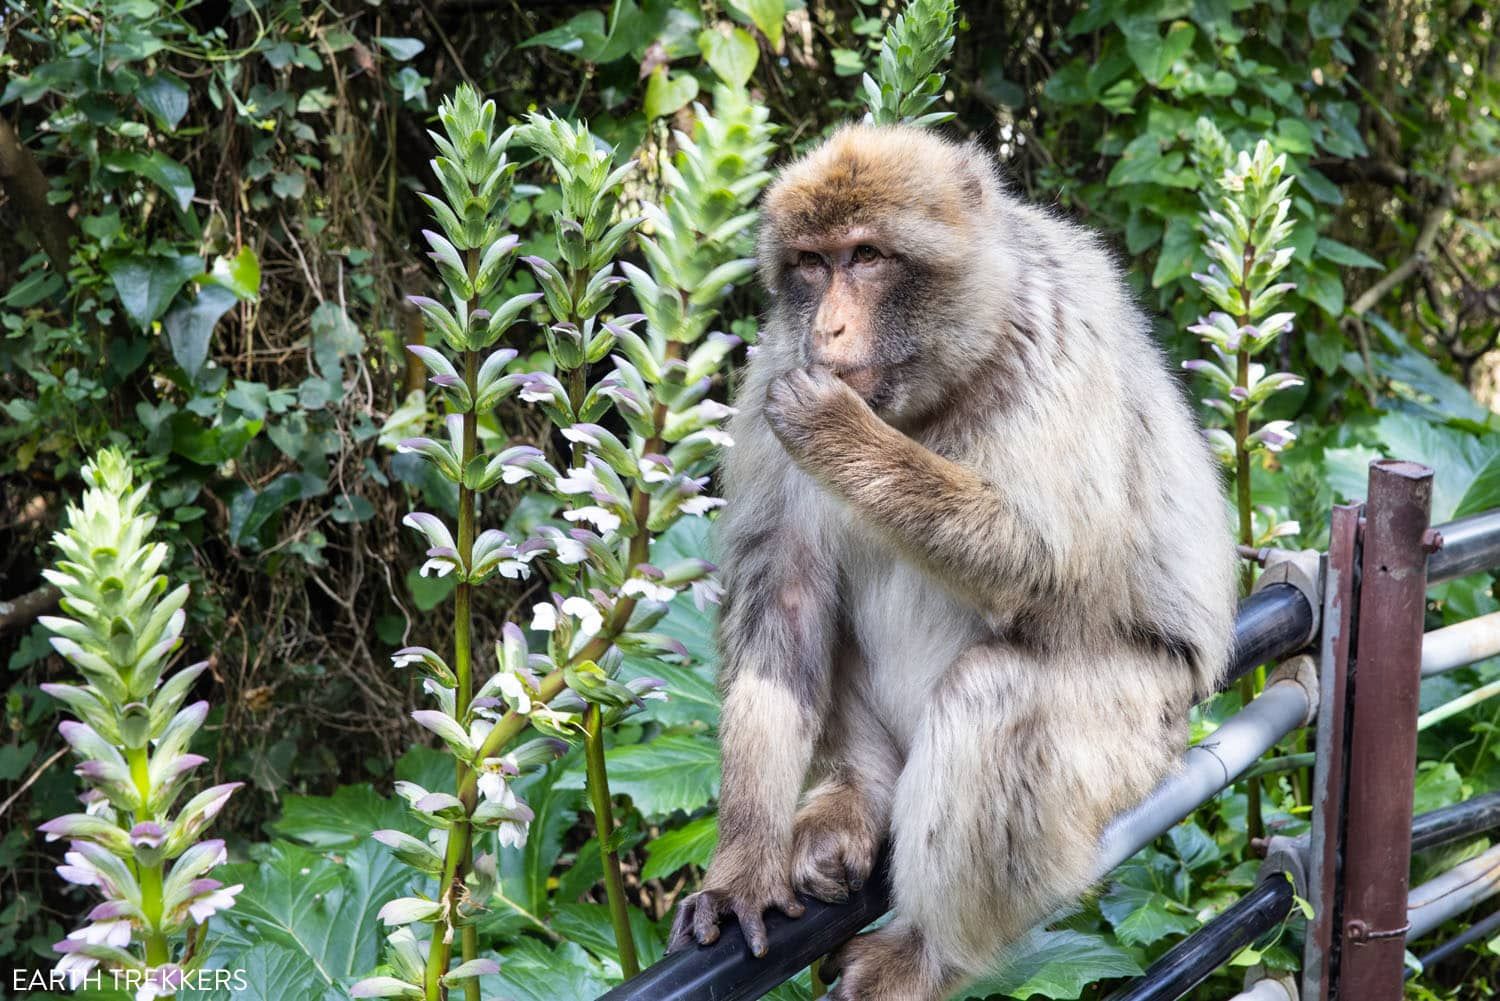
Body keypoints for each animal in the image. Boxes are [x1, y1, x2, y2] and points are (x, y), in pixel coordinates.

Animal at [666, 123, 1238, 1001]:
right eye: (811, 264)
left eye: (867, 257)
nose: (827, 330)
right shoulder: (770, 370)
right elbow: (784, 599)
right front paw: (742, 867)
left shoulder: (1055, 338)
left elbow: (1047, 563)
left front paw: (842, 436)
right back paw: (859, 797)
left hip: (1143, 737)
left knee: (993, 691)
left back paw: (929, 952)